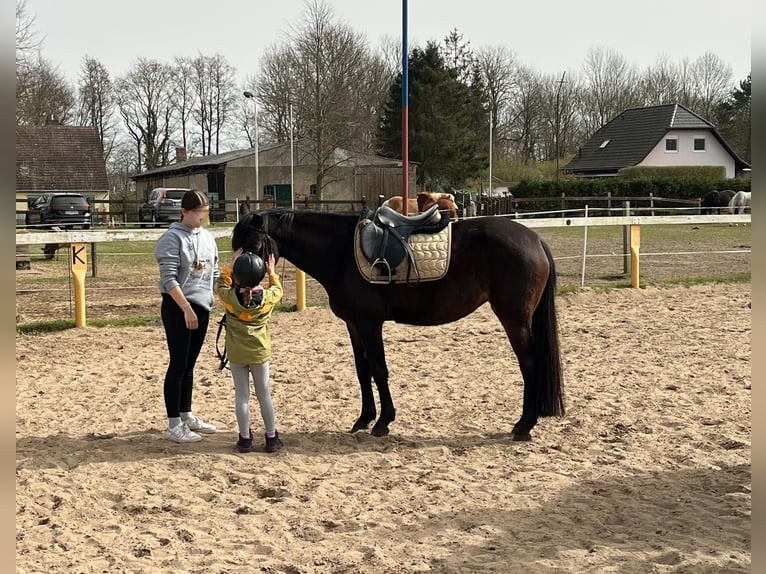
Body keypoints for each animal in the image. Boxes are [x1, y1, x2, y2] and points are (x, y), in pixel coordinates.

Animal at [234, 210, 564, 440]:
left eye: (253, 243)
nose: (240, 290)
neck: (340, 253)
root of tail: (535, 239)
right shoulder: (354, 325)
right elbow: (362, 371)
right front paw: (364, 419)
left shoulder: (370, 323)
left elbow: (379, 369)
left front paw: (383, 422)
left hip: (514, 319)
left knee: (530, 364)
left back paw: (524, 424)